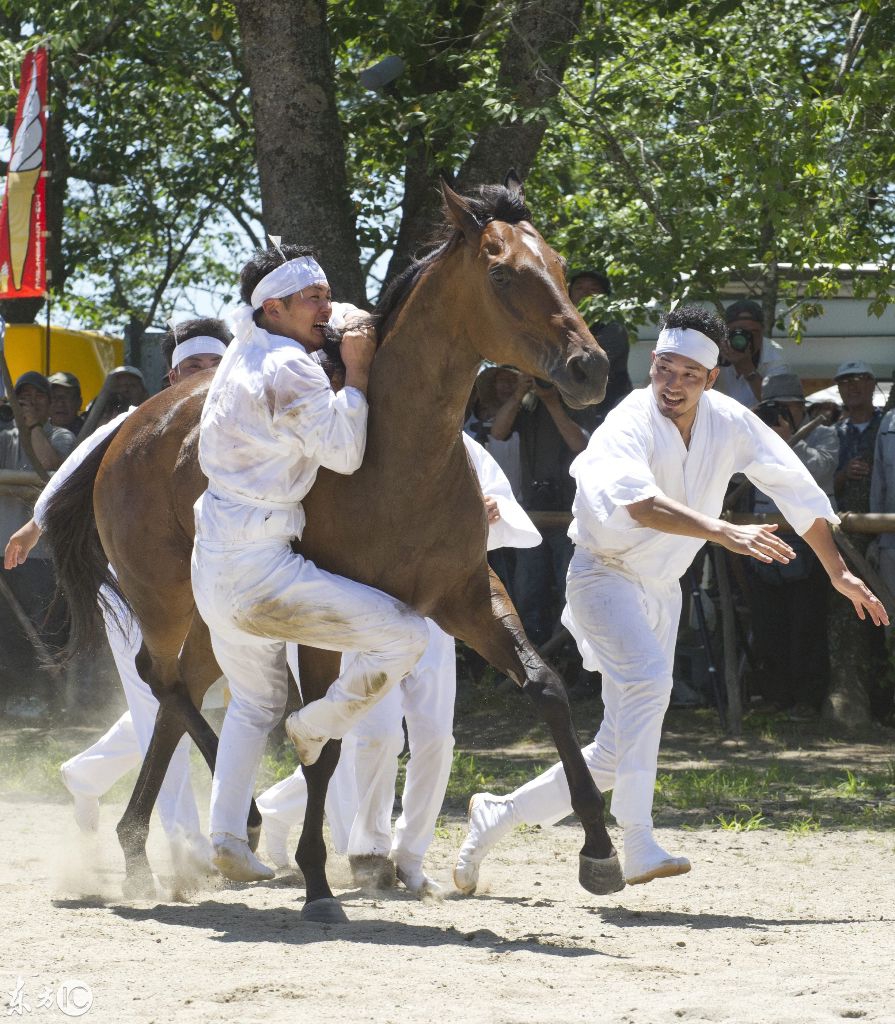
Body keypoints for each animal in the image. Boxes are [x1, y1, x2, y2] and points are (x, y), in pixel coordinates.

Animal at [45, 176, 622, 921]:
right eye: (502, 273)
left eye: (556, 264)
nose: (590, 367)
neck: (397, 455)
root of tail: (125, 431)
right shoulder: (320, 622)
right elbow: (319, 744)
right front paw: (318, 881)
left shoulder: (466, 594)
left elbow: (546, 686)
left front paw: (599, 851)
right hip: (167, 598)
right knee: (161, 678)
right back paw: (230, 826)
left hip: (217, 620)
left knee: (184, 689)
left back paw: (151, 844)